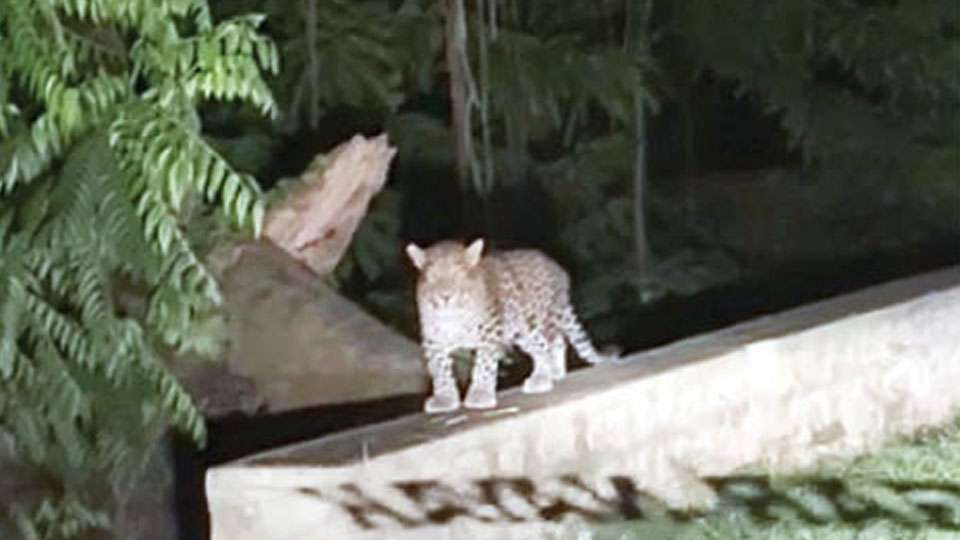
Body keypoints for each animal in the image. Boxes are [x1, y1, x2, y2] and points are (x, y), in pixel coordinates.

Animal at [405, 238, 614, 413]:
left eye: (459, 274)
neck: (451, 315)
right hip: (521, 330)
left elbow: (484, 364)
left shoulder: (489, 330)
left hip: (532, 322)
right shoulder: (433, 341)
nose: (445, 296)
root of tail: (557, 268)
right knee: (554, 342)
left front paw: (480, 393)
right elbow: (439, 369)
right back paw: (554, 372)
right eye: (432, 277)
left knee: (545, 345)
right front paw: (444, 398)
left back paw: (542, 377)